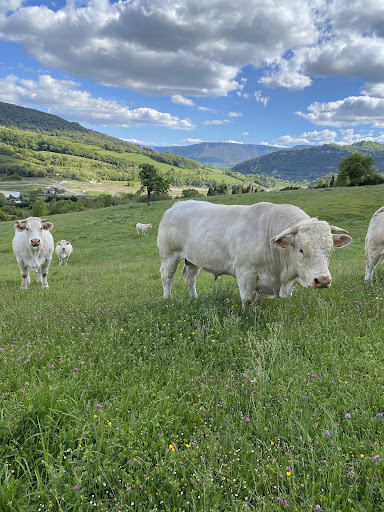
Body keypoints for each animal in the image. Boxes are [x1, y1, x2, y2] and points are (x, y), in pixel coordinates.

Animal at [158, 201, 352, 310]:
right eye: (301, 249)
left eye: (330, 251)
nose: (323, 280)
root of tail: (176, 205)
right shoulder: (245, 273)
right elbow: (248, 299)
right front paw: (246, 316)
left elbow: (256, 299)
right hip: (169, 255)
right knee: (167, 278)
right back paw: (168, 300)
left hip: (192, 259)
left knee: (189, 278)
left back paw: (194, 298)